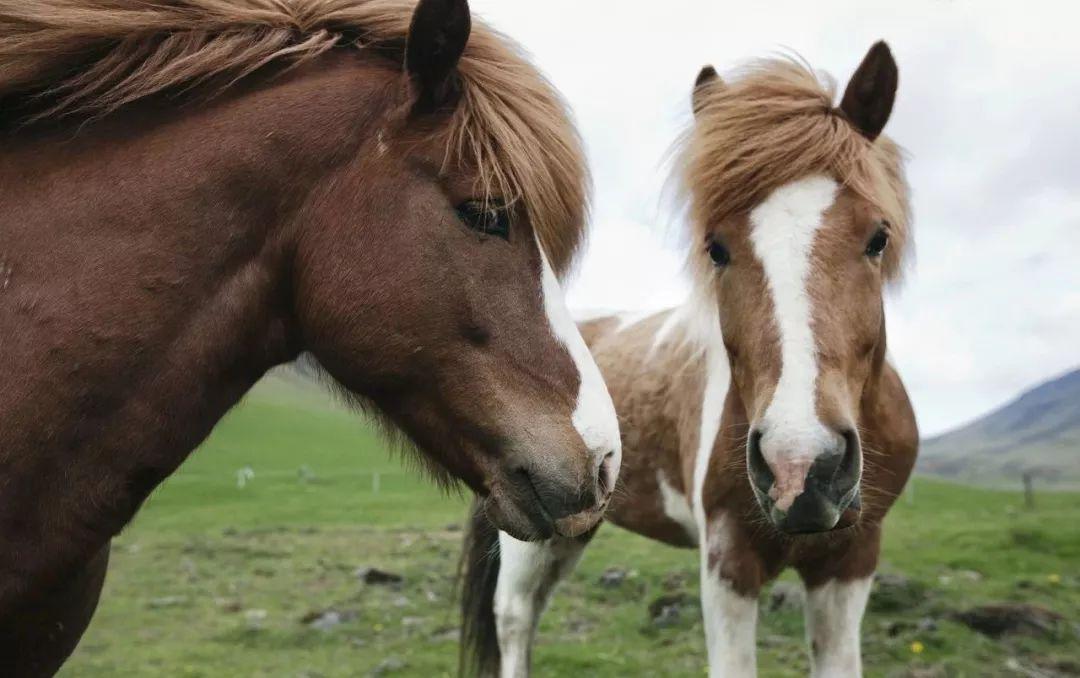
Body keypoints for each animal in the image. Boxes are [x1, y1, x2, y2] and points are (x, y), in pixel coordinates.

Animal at [464, 43, 920, 678]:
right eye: (716, 248)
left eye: (878, 237)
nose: (800, 469)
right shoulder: (728, 561)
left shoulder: (850, 563)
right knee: (514, 618)